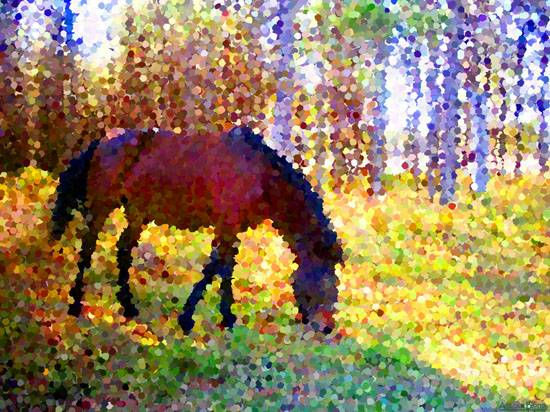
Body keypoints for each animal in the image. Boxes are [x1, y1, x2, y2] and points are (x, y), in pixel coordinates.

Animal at [51, 125, 344, 334]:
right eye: (327, 279)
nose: (327, 328)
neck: (258, 171)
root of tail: (103, 140)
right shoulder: (226, 226)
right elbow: (215, 268)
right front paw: (192, 318)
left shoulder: (232, 230)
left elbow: (225, 268)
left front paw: (225, 316)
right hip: (102, 206)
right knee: (88, 247)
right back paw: (75, 304)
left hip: (136, 212)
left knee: (123, 250)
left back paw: (129, 306)